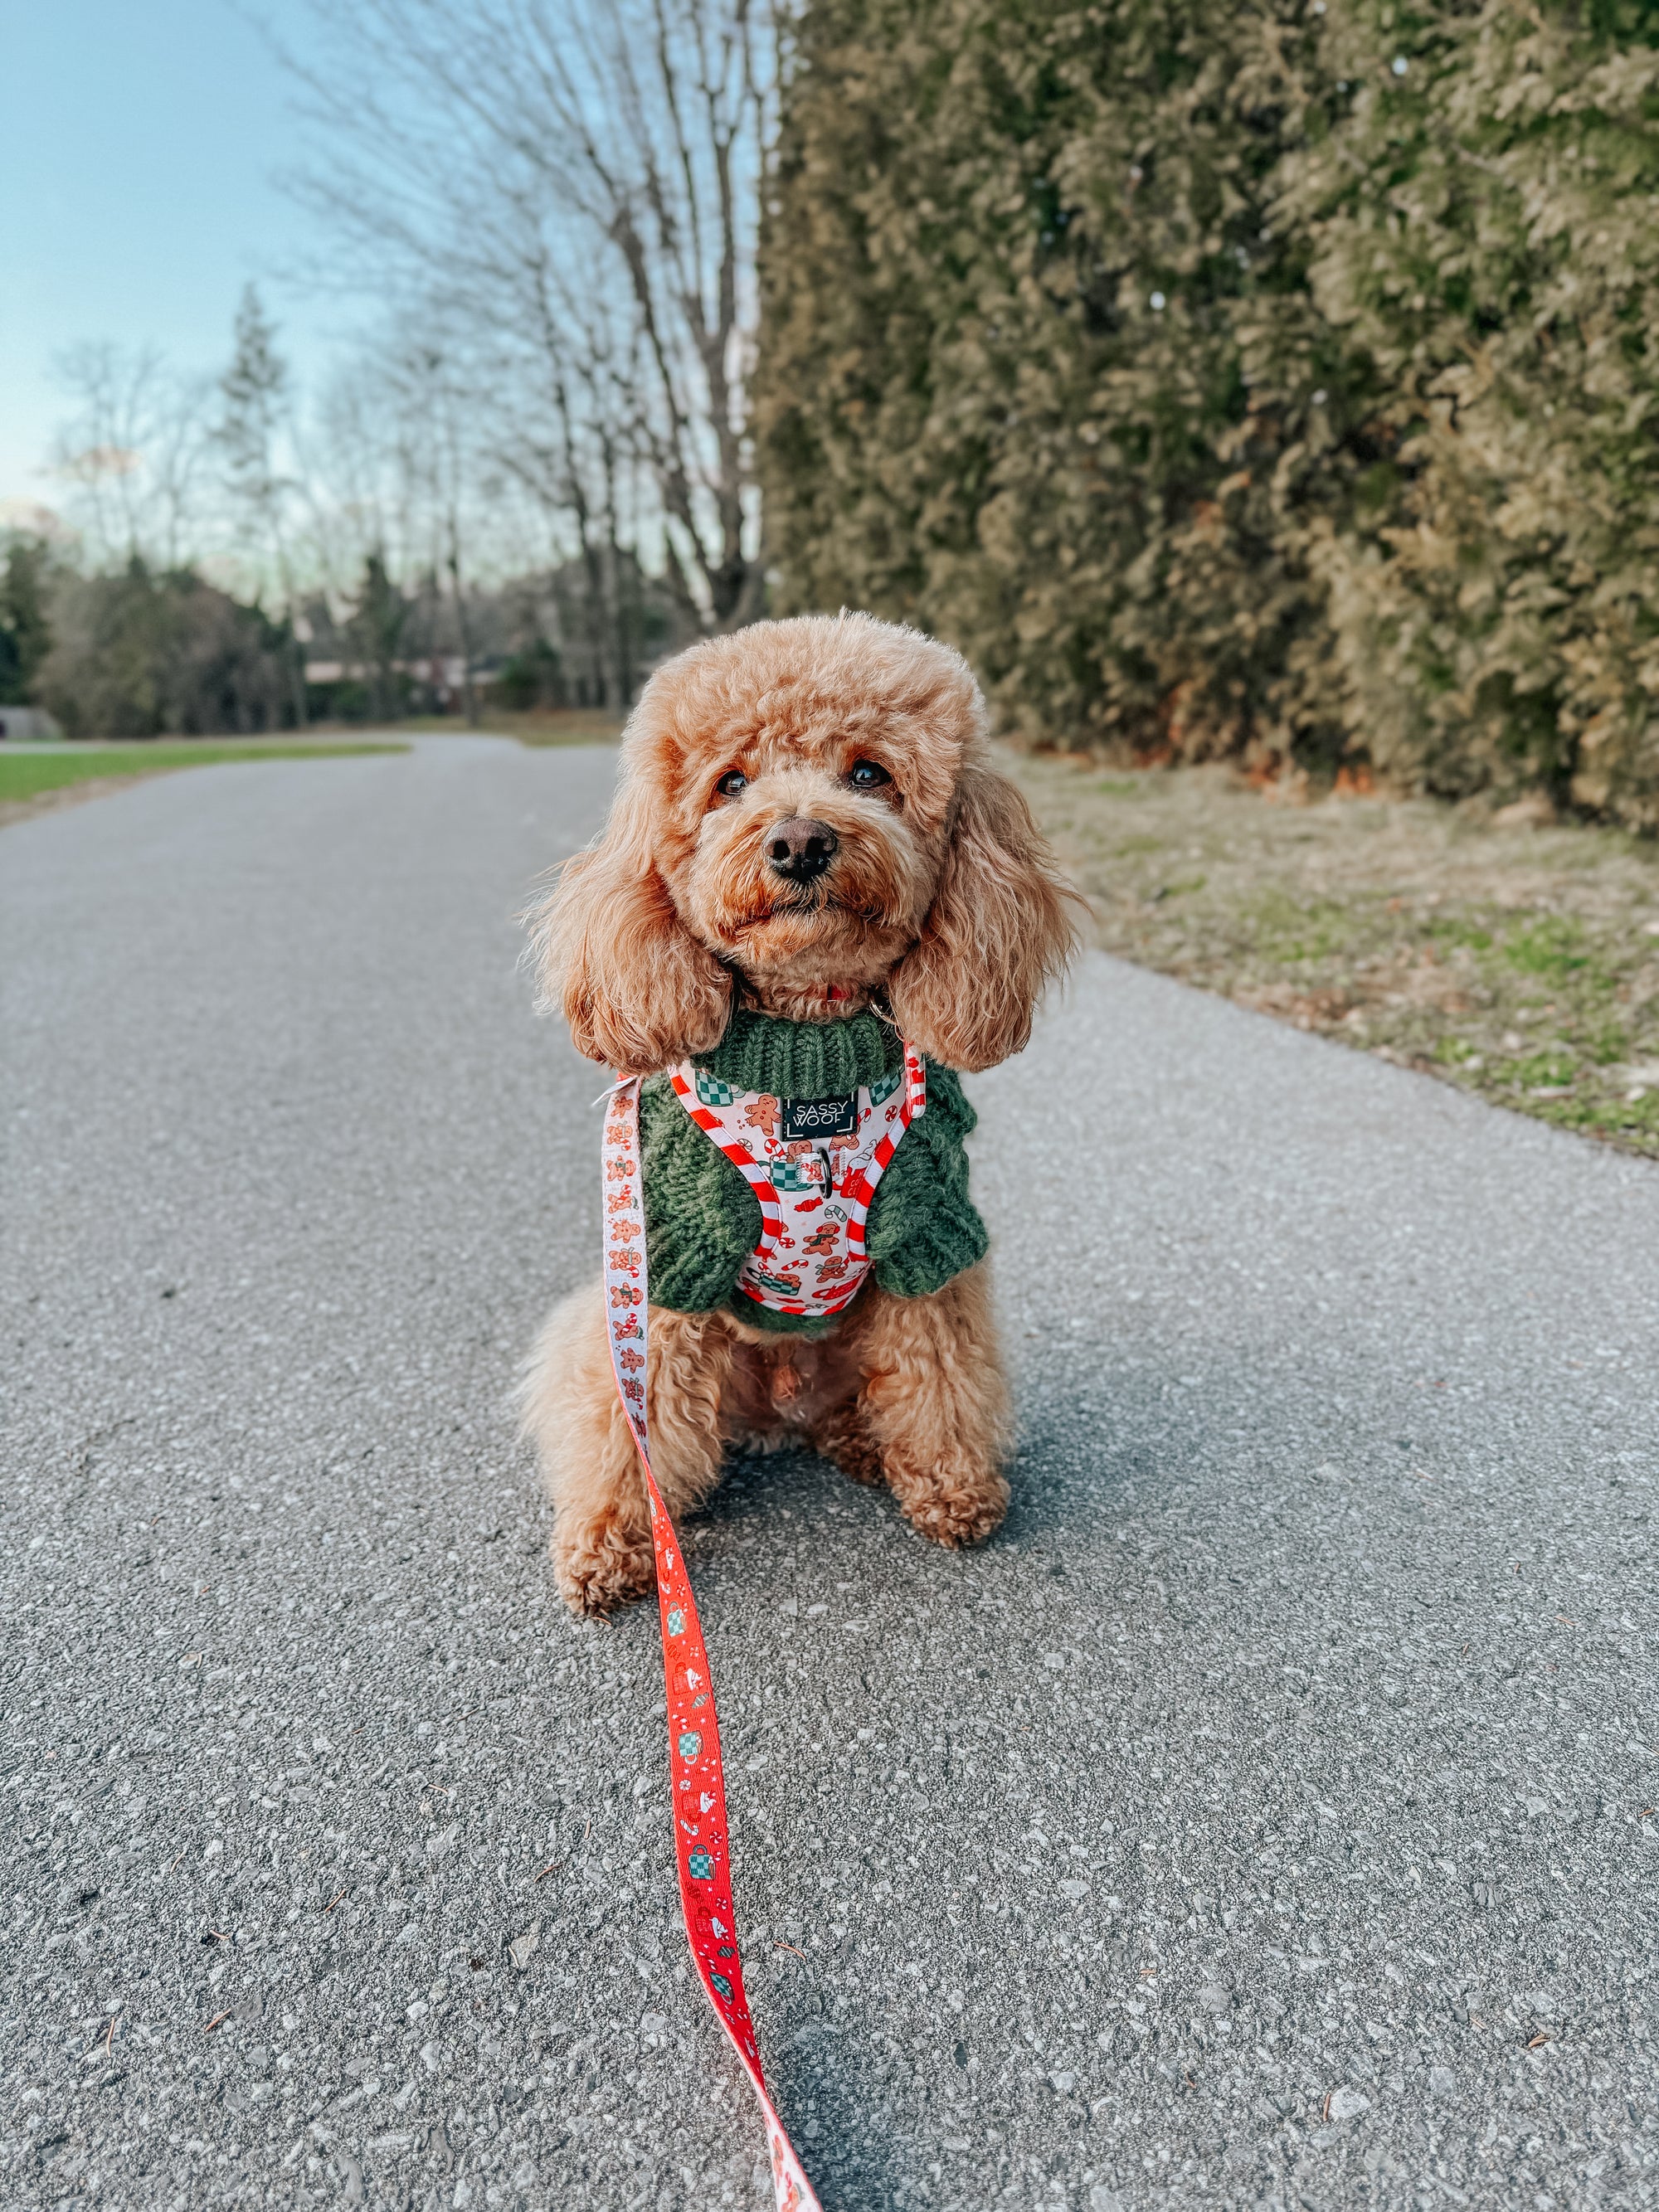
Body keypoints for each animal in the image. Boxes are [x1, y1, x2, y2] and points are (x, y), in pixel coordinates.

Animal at [526, 615, 1083, 1619]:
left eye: (868, 773)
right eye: (730, 783)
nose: (797, 842)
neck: (806, 1051)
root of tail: (782, 1412)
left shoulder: (926, 1235)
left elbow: (942, 1371)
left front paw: (953, 1489)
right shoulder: (669, 1258)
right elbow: (632, 1421)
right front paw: (612, 1541)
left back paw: (865, 1443)